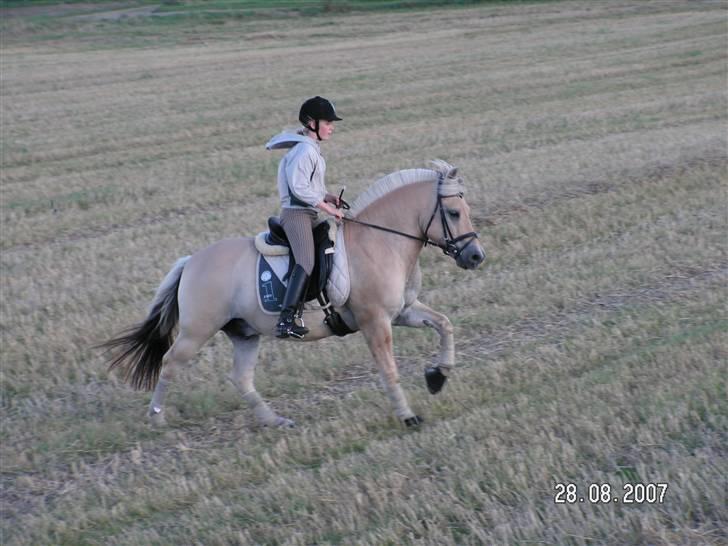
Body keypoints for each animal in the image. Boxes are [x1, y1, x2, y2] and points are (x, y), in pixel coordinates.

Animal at [102, 159, 486, 428]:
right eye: (454, 212)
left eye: (467, 210)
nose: (475, 256)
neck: (381, 241)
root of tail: (191, 262)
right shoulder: (375, 322)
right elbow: (389, 370)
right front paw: (408, 417)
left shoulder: (403, 311)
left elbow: (445, 324)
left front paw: (437, 377)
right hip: (197, 331)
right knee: (170, 363)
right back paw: (157, 418)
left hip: (244, 333)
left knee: (241, 378)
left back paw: (275, 421)